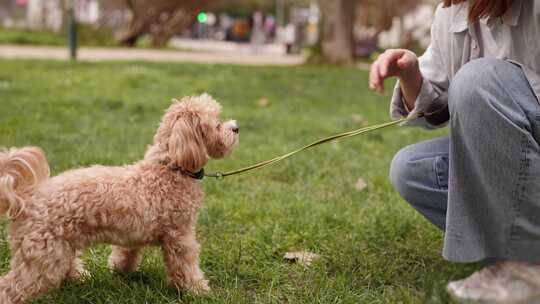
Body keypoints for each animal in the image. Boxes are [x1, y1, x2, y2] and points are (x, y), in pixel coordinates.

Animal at [0, 94, 238, 302]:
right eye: (217, 124)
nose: (236, 128)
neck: (171, 167)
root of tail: (26, 197)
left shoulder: (133, 233)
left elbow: (126, 254)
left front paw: (121, 270)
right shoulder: (180, 236)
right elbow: (186, 267)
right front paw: (198, 291)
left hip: (60, 246)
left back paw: (78, 277)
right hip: (43, 257)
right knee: (12, 287)